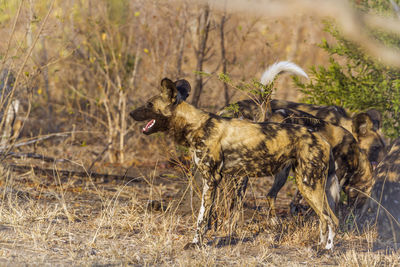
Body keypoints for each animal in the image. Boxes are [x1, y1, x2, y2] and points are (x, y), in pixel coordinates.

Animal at [130, 77, 340, 251]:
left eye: (149, 104)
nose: (131, 113)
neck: (196, 125)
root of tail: (322, 139)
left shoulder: (211, 180)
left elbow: (201, 219)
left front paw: (196, 243)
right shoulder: (212, 180)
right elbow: (205, 216)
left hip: (309, 185)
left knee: (332, 219)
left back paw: (327, 250)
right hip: (306, 185)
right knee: (324, 219)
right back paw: (319, 246)